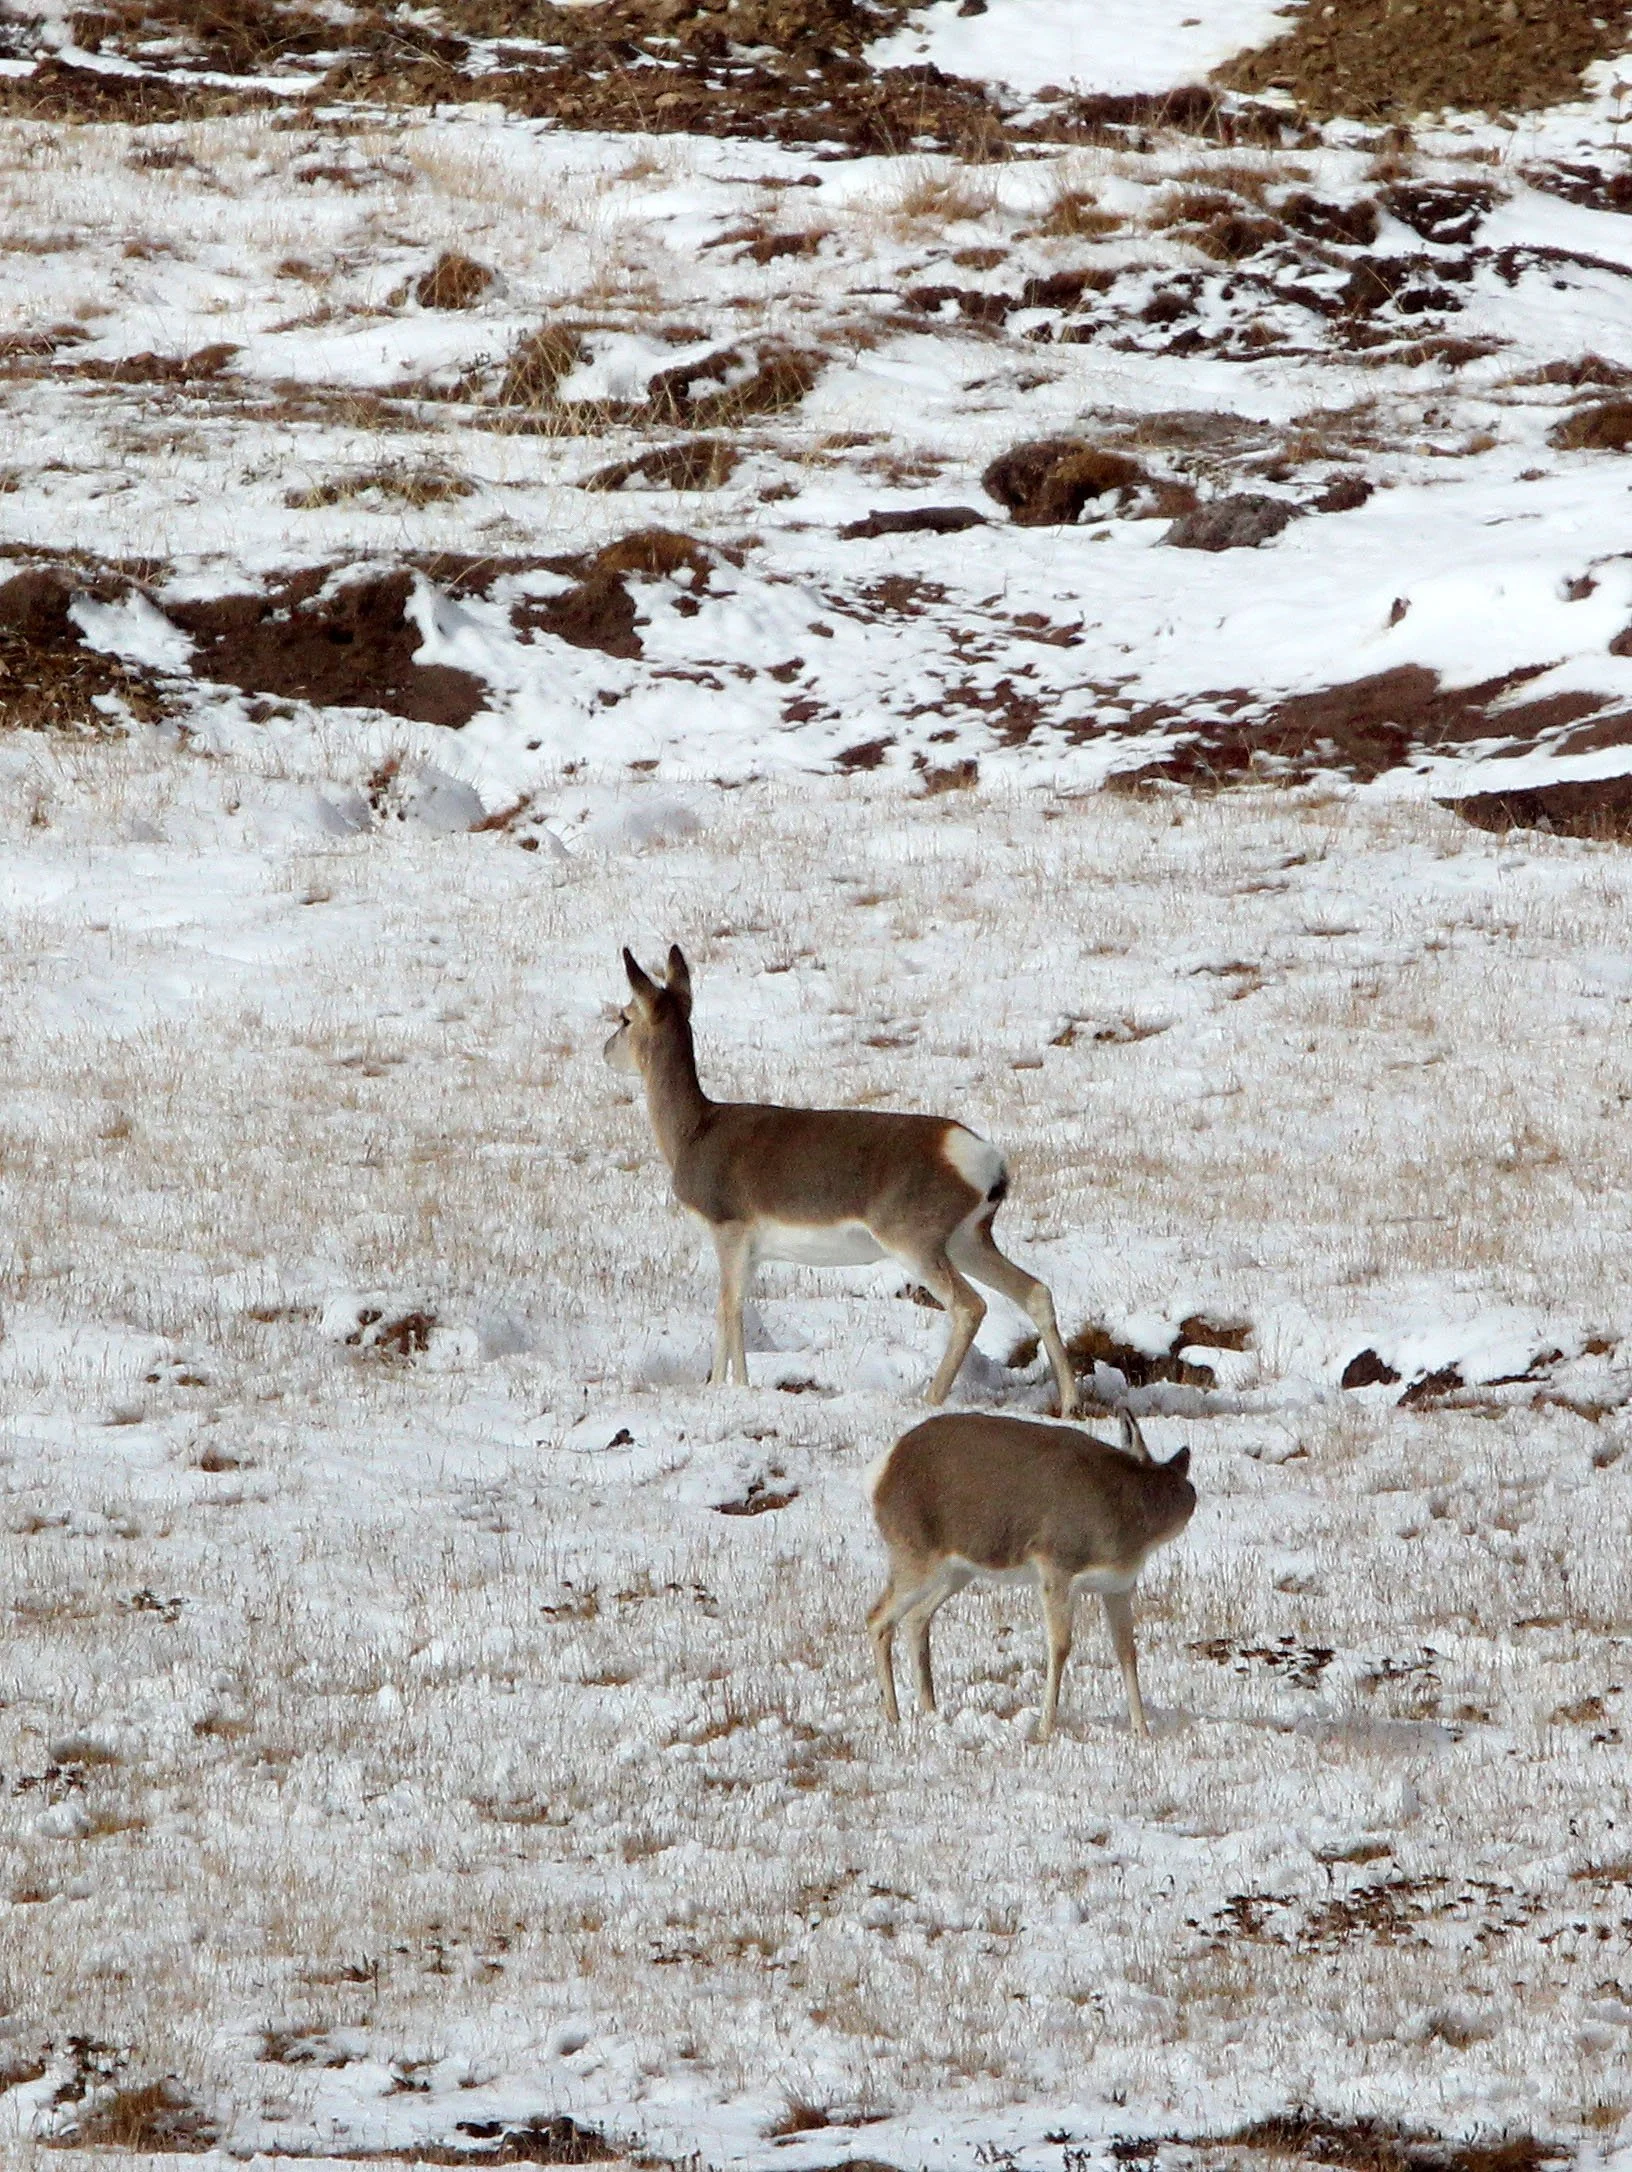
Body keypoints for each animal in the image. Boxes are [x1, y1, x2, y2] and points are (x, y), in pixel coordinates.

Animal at [603, 946, 1076, 1415]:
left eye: (625, 1017)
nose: (606, 1051)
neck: (696, 1130)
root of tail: (984, 1160)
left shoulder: (729, 1232)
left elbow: (727, 1309)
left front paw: (725, 1387)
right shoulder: (751, 1252)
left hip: (916, 1246)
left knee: (969, 1306)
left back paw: (928, 1399)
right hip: (968, 1242)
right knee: (1035, 1291)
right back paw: (1070, 1402)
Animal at [867, 1409, 1194, 1741]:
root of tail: (881, 1472)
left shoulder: (1118, 1585)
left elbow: (1127, 1649)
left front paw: (1142, 1730)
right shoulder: (1056, 1567)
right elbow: (1061, 1646)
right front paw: (1044, 1729)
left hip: (957, 1571)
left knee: (915, 1617)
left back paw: (930, 1711)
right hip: (916, 1555)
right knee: (877, 1617)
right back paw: (893, 1716)